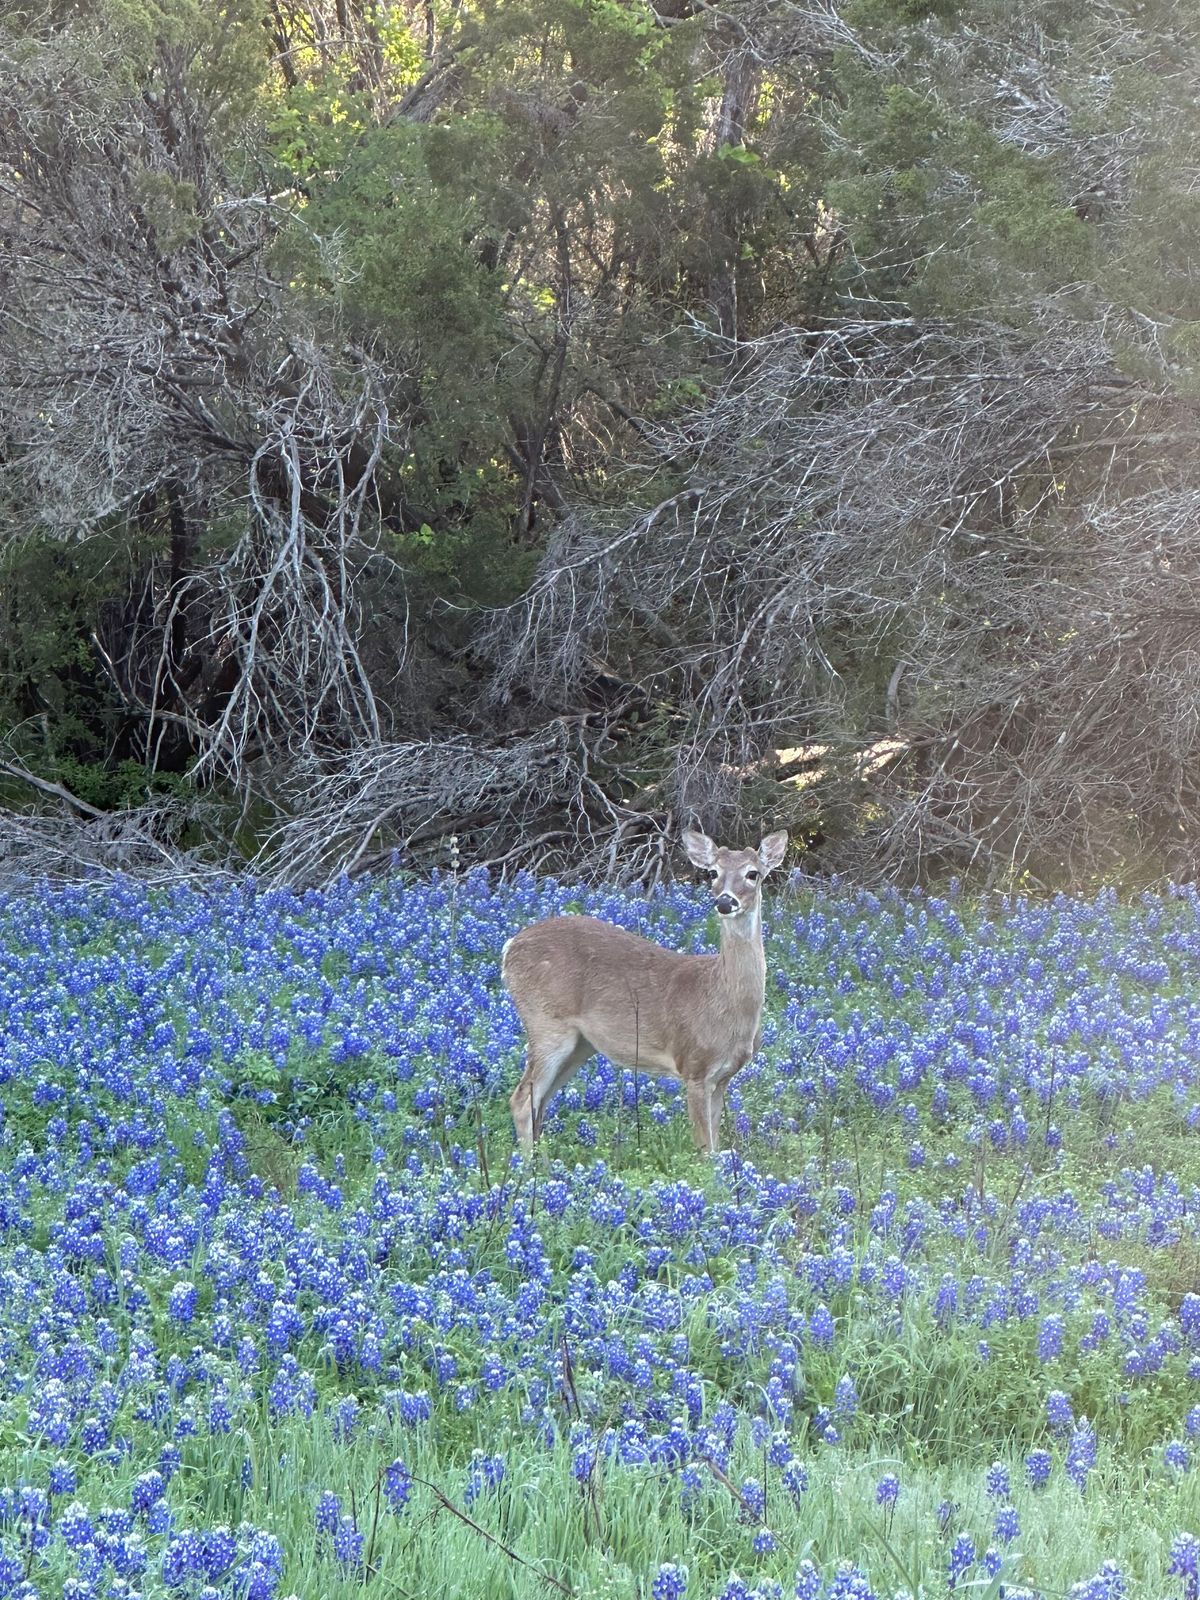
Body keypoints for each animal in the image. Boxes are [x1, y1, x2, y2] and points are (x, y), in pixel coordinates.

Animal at [499, 832, 790, 1158]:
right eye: (713, 873)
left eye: (753, 874)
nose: (725, 901)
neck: (721, 997)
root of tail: (509, 947)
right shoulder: (694, 1067)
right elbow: (705, 1152)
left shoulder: (723, 1077)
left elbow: (715, 1147)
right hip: (546, 1022)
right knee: (522, 1099)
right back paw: (531, 1166)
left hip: (581, 1044)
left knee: (541, 1101)